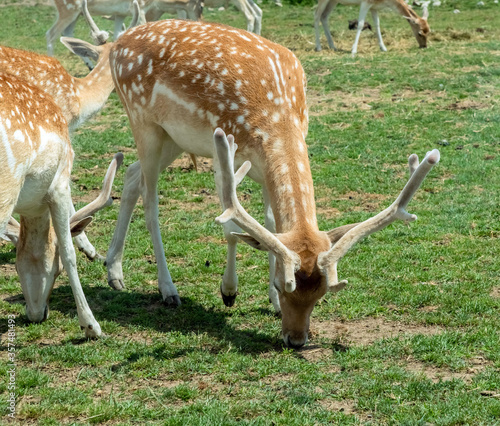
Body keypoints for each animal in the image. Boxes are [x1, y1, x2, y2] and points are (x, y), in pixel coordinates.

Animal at [0, 74, 121, 340]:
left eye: (16, 267)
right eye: (56, 270)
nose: (37, 315)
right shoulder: (60, 185)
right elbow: (69, 252)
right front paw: (91, 326)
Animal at [103, 18, 440, 348]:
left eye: (321, 295)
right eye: (282, 284)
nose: (296, 339)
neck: (275, 115)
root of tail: (116, 44)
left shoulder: (264, 169)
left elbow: (270, 225)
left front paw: (271, 304)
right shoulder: (222, 150)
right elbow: (230, 227)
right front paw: (229, 291)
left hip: (172, 137)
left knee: (131, 175)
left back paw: (114, 271)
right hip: (143, 122)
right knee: (151, 203)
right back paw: (168, 289)